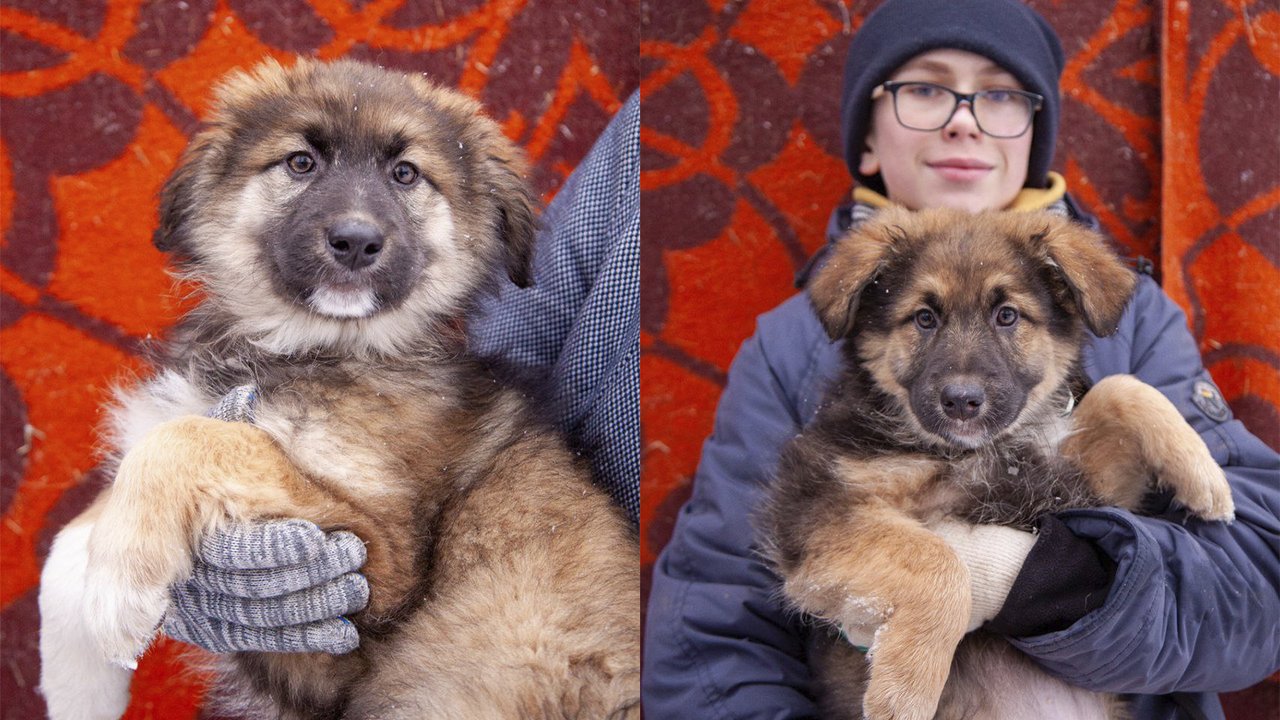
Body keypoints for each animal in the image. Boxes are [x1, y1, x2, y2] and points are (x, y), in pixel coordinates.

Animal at [40, 57, 640, 717]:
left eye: (405, 173)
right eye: (302, 162)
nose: (355, 241)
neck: (303, 348)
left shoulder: (375, 567)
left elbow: (192, 441)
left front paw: (119, 586)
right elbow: (75, 535)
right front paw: (76, 685)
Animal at [757, 206, 1228, 717]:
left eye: (1007, 316)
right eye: (924, 318)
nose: (961, 401)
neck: (979, 450)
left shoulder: (1079, 487)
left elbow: (1120, 388)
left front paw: (1206, 477)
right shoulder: (819, 509)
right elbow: (938, 560)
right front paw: (905, 690)